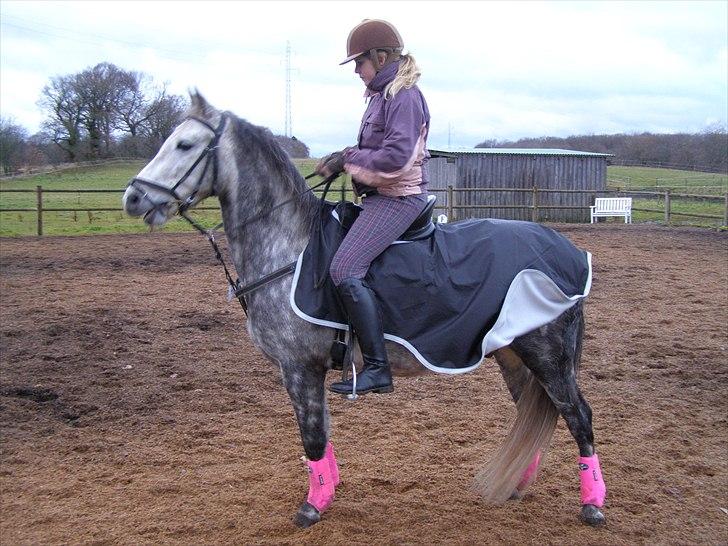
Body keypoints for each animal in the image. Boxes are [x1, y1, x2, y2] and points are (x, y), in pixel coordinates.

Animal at [122, 92, 607, 528]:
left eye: (185, 145)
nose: (133, 198)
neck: (292, 248)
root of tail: (567, 251)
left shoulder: (299, 366)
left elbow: (312, 436)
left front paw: (312, 507)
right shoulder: (308, 368)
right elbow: (321, 435)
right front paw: (328, 491)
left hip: (550, 358)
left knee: (578, 417)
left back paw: (592, 505)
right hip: (514, 355)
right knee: (534, 413)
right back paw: (517, 484)